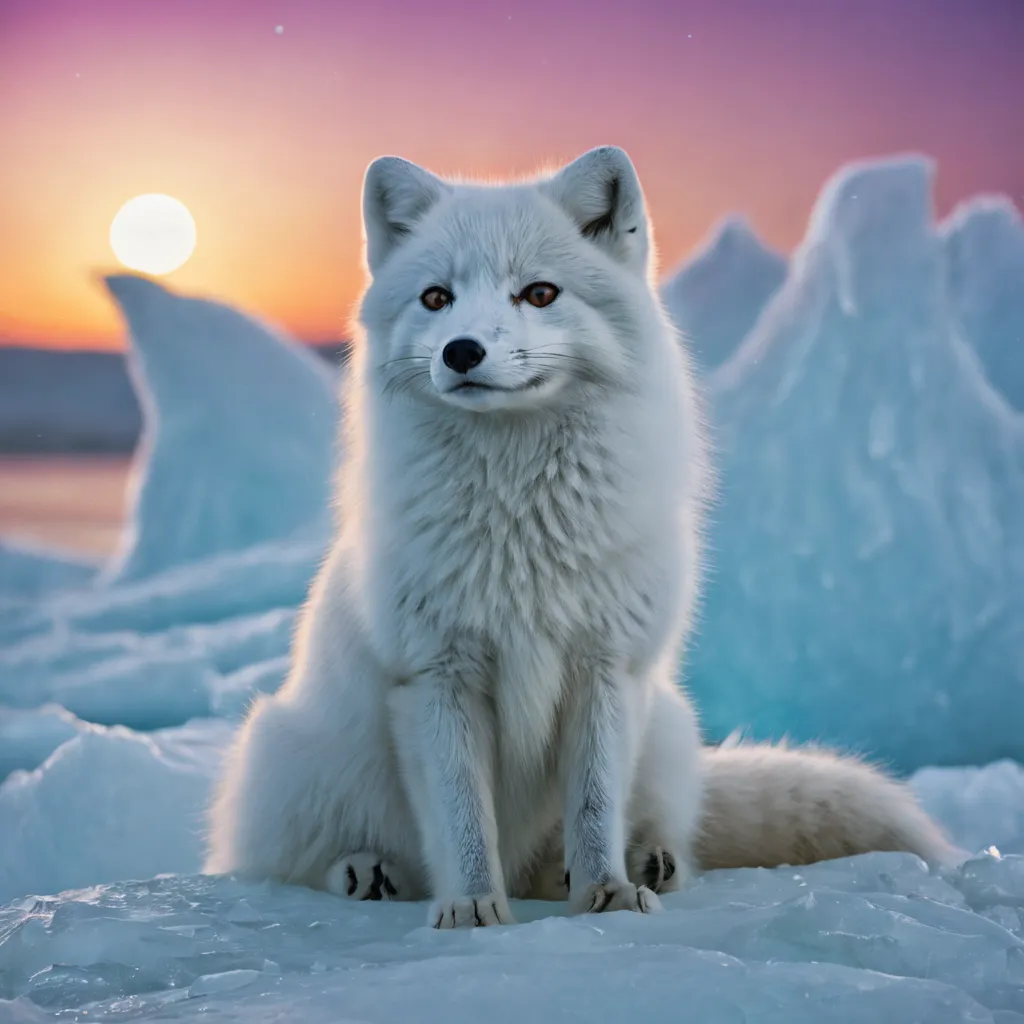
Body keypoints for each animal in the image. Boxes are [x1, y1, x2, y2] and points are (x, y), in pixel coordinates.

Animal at [203, 142, 954, 929]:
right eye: (436, 299)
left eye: (539, 294)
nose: (461, 351)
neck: (520, 523)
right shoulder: (436, 674)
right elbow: (464, 820)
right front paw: (472, 906)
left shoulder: (605, 667)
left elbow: (594, 809)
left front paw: (607, 893)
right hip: (286, 754)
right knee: (291, 862)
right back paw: (367, 871)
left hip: (665, 729)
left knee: (605, 844)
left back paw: (643, 864)